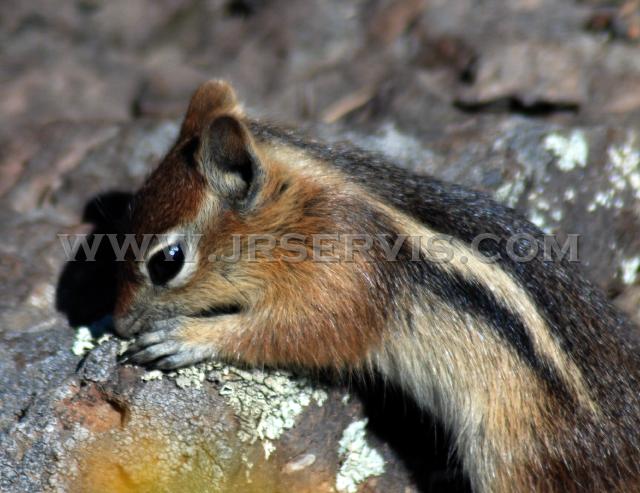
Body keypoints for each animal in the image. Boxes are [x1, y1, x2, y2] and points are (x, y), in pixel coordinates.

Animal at [116, 80, 640, 488]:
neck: (297, 212)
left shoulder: (341, 276)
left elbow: (306, 334)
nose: (118, 324)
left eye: (167, 262)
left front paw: (188, 337)